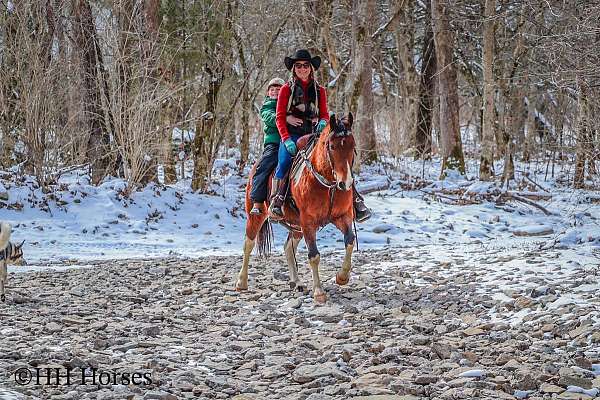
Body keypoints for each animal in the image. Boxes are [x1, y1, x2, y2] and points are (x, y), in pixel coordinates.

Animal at [236, 112, 356, 304]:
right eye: (332, 146)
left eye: (353, 145)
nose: (345, 183)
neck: (327, 183)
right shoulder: (308, 222)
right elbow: (314, 255)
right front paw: (319, 291)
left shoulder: (342, 217)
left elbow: (350, 242)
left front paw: (342, 277)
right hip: (257, 215)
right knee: (249, 243)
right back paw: (241, 282)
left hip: (296, 226)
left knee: (288, 247)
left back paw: (297, 282)